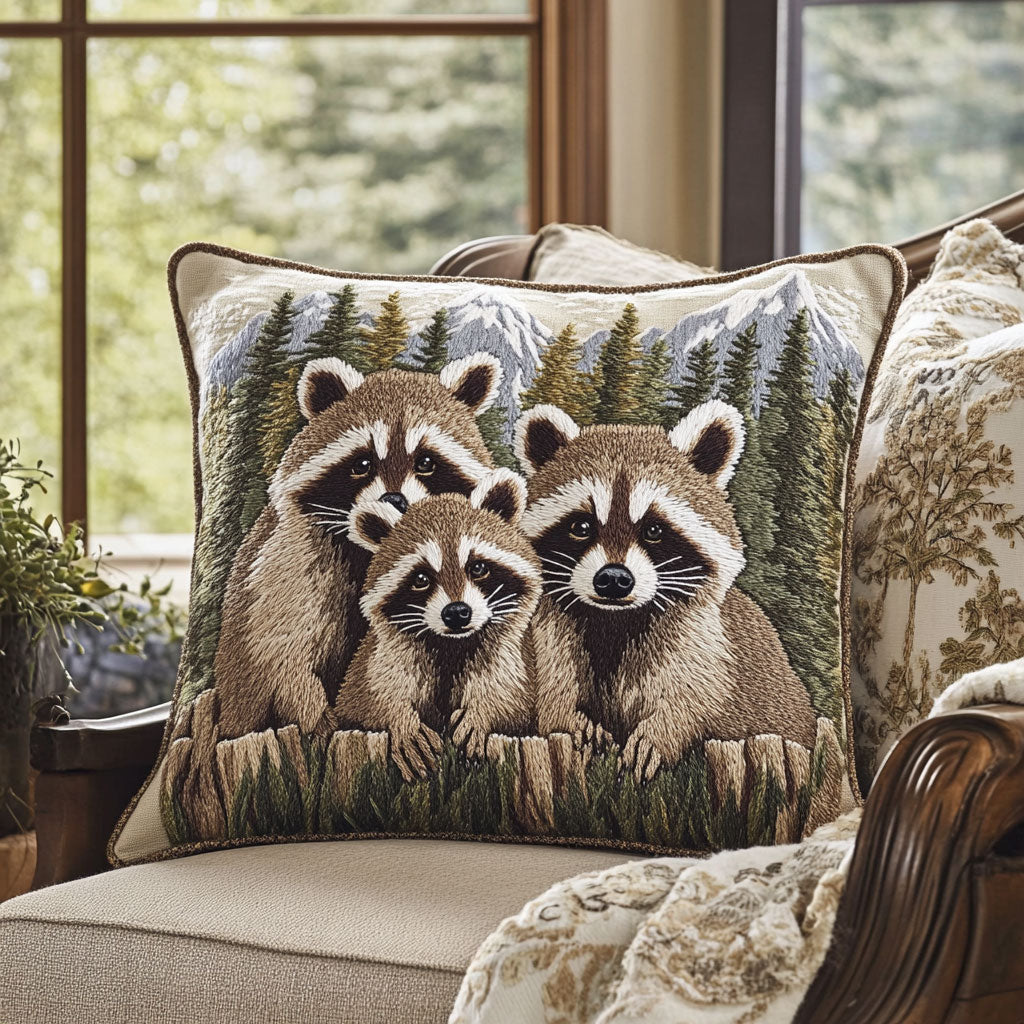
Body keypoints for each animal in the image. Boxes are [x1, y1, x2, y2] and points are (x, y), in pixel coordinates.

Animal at [213, 352, 502, 740]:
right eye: (362, 463)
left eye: (425, 462)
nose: (394, 501)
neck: (367, 549)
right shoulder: (291, 554)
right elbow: (278, 645)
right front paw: (316, 712)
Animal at [335, 469, 542, 782]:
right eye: (421, 579)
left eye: (478, 568)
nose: (457, 613)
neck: (451, 644)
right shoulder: (381, 657)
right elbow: (368, 698)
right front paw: (399, 719)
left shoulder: (506, 655)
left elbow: (511, 695)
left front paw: (484, 712)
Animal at [514, 399, 818, 782]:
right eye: (581, 527)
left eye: (654, 530)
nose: (613, 579)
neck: (616, 620)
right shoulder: (553, 629)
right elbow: (551, 685)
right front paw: (567, 717)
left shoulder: (702, 636)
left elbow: (699, 693)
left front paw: (661, 732)